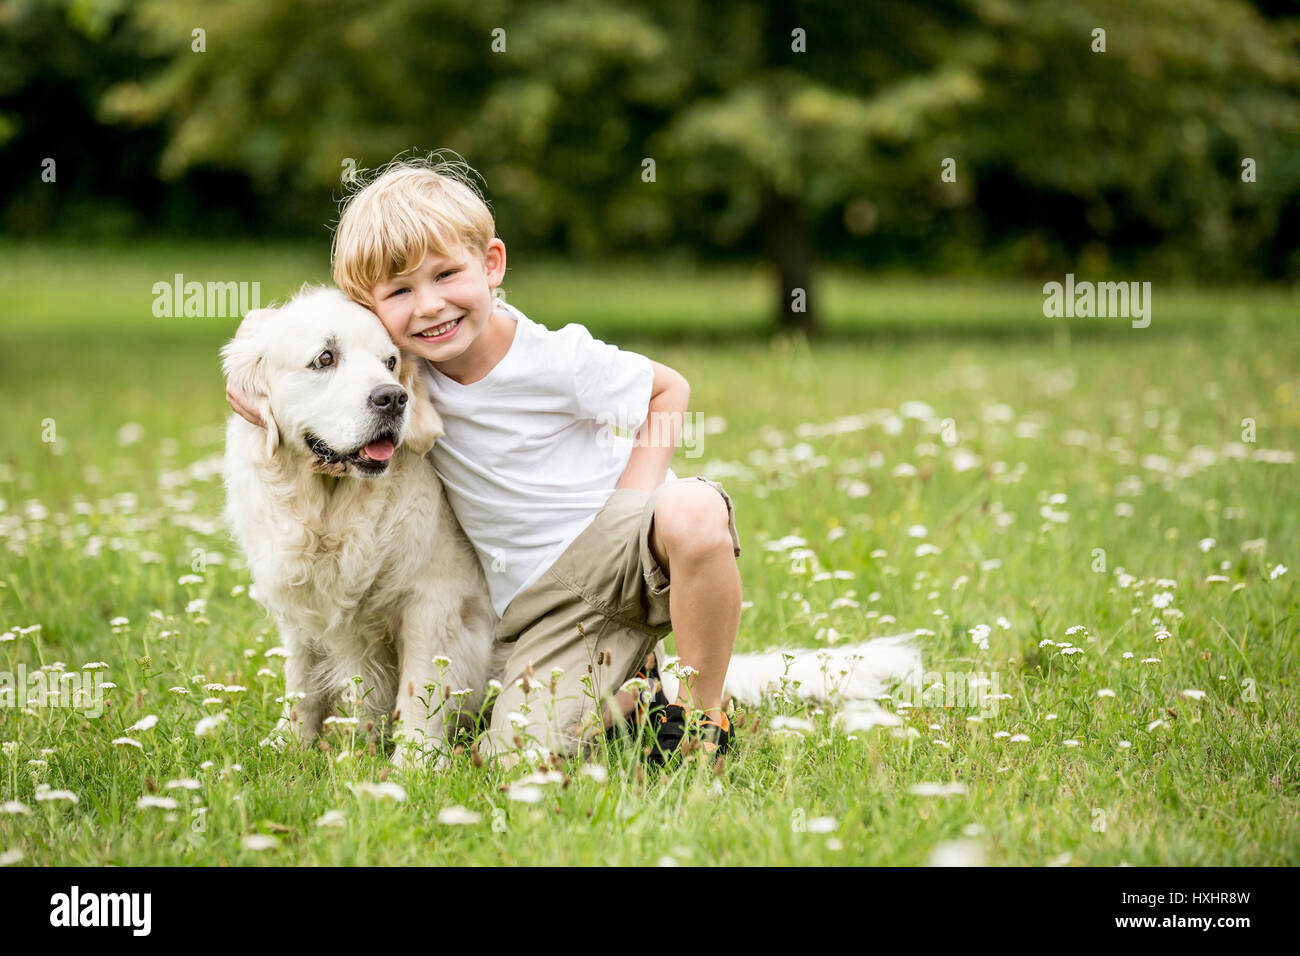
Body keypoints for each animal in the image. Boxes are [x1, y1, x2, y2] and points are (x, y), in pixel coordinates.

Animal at [218, 286, 501, 770]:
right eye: (325, 358)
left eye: (390, 362)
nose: (393, 398)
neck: (332, 510)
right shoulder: (301, 604)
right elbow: (301, 678)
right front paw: (290, 741)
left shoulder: (432, 599)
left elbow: (420, 683)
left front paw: (416, 762)